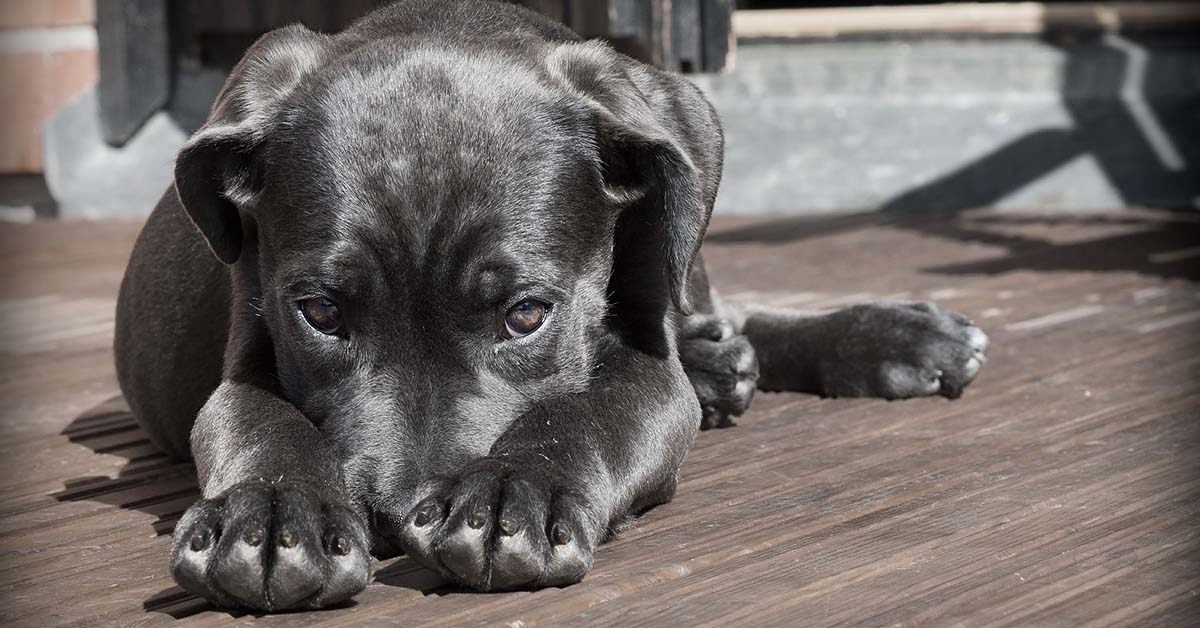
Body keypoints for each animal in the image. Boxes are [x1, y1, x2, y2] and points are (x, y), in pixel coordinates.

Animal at [117, 0, 988, 609]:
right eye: (322, 313)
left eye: (527, 315)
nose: (396, 518)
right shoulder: (246, 349)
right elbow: (259, 422)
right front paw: (270, 515)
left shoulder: (645, 365)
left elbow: (587, 410)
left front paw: (514, 491)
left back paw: (892, 337)